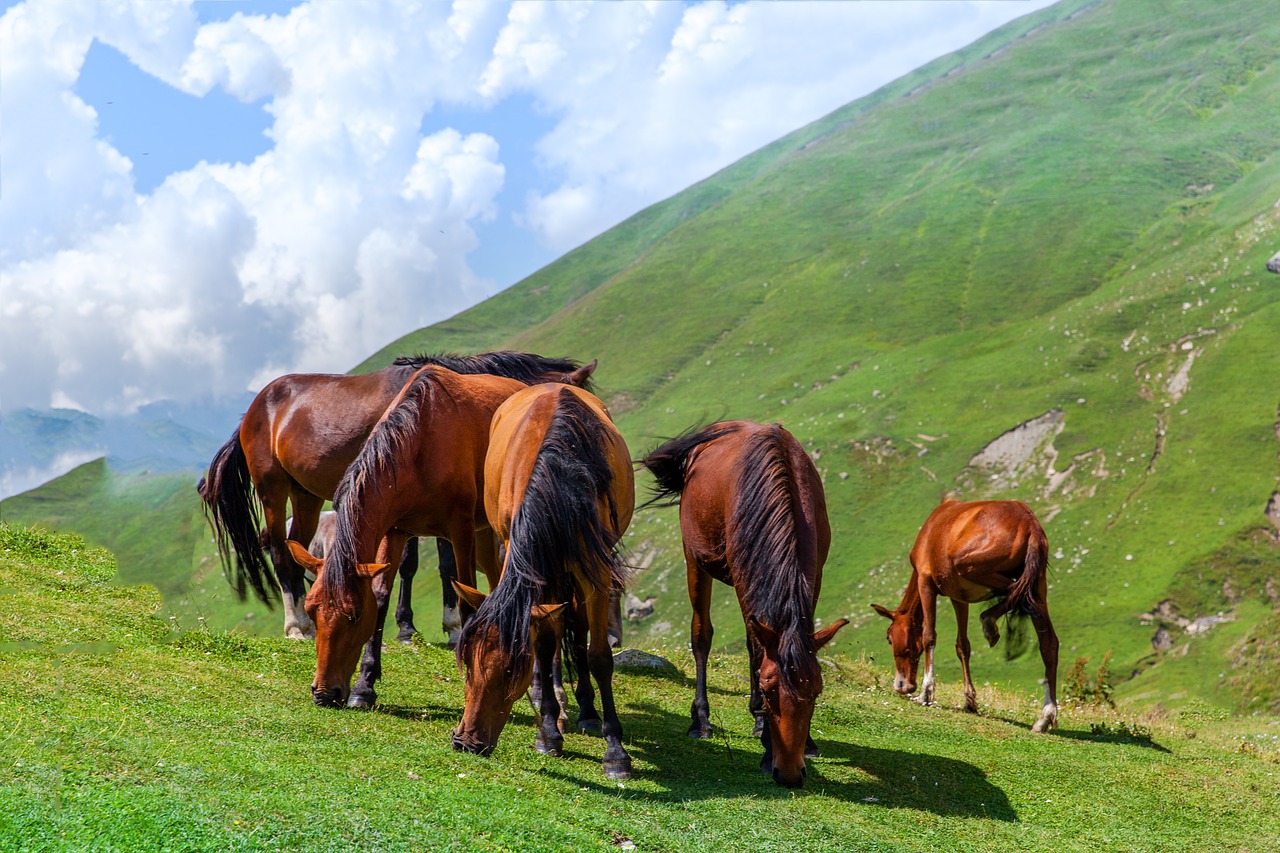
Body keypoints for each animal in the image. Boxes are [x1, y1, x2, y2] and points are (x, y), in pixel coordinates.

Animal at [197, 350, 596, 637]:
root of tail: (254, 409)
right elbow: (413, 563)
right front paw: (418, 627)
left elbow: (442, 564)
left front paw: (444, 623)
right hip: (273, 489)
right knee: (279, 550)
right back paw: (296, 627)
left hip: (305, 496)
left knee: (296, 548)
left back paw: (308, 624)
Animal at [288, 366, 563, 701]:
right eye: (311, 610)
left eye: (353, 615)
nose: (324, 693)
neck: (419, 443)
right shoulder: (394, 531)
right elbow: (381, 597)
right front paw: (365, 684)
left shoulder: (460, 531)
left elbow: (466, 601)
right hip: (486, 534)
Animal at [450, 384, 634, 778]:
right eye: (467, 662)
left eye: (508, 671)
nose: (466, 742)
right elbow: (545, 644)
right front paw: (548, 733)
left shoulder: (595, 571)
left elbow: (598, 656)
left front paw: (615, 752)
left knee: (578, 631)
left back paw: (589, 712)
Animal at [640, 422, 849, 788]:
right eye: (769, 690)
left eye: (816, 693)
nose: (790, 774)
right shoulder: (742, 579)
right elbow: (753, 651)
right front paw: (766, 742)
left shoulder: (815, 576)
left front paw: (805, 741)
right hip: (695, 561)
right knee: (702, 635)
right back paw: (701, 720)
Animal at [870, 499, 1059, 732]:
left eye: (889, 638)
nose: (902, 685)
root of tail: (1030, 524)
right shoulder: (959, 597)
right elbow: (962, 646)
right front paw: (969, 701)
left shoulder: (926, 583)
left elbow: (928, 636)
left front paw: (926, 693)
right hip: (1039, 582)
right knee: (1048, 643)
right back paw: (1045, 717)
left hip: (968, 565)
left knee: (1018, 593)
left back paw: (989, 621)